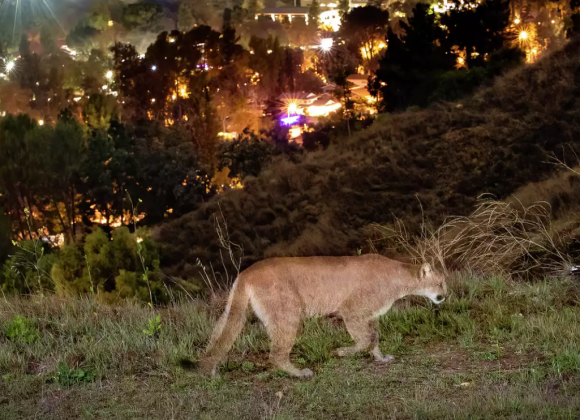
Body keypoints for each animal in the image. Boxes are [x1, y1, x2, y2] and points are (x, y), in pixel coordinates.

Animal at [201, 254, 448, 378]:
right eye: (440, 283)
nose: (445, 295)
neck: (399, 279)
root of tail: (245, 272)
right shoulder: (352, 310)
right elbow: (365, 339)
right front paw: (342, 352)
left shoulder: (371, 314)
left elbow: (374, 337)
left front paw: (380, 358)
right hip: (288, 315)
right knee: (276, 354)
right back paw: (300, 374)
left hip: (233, 311)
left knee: (217, 340)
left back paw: (210, 371)